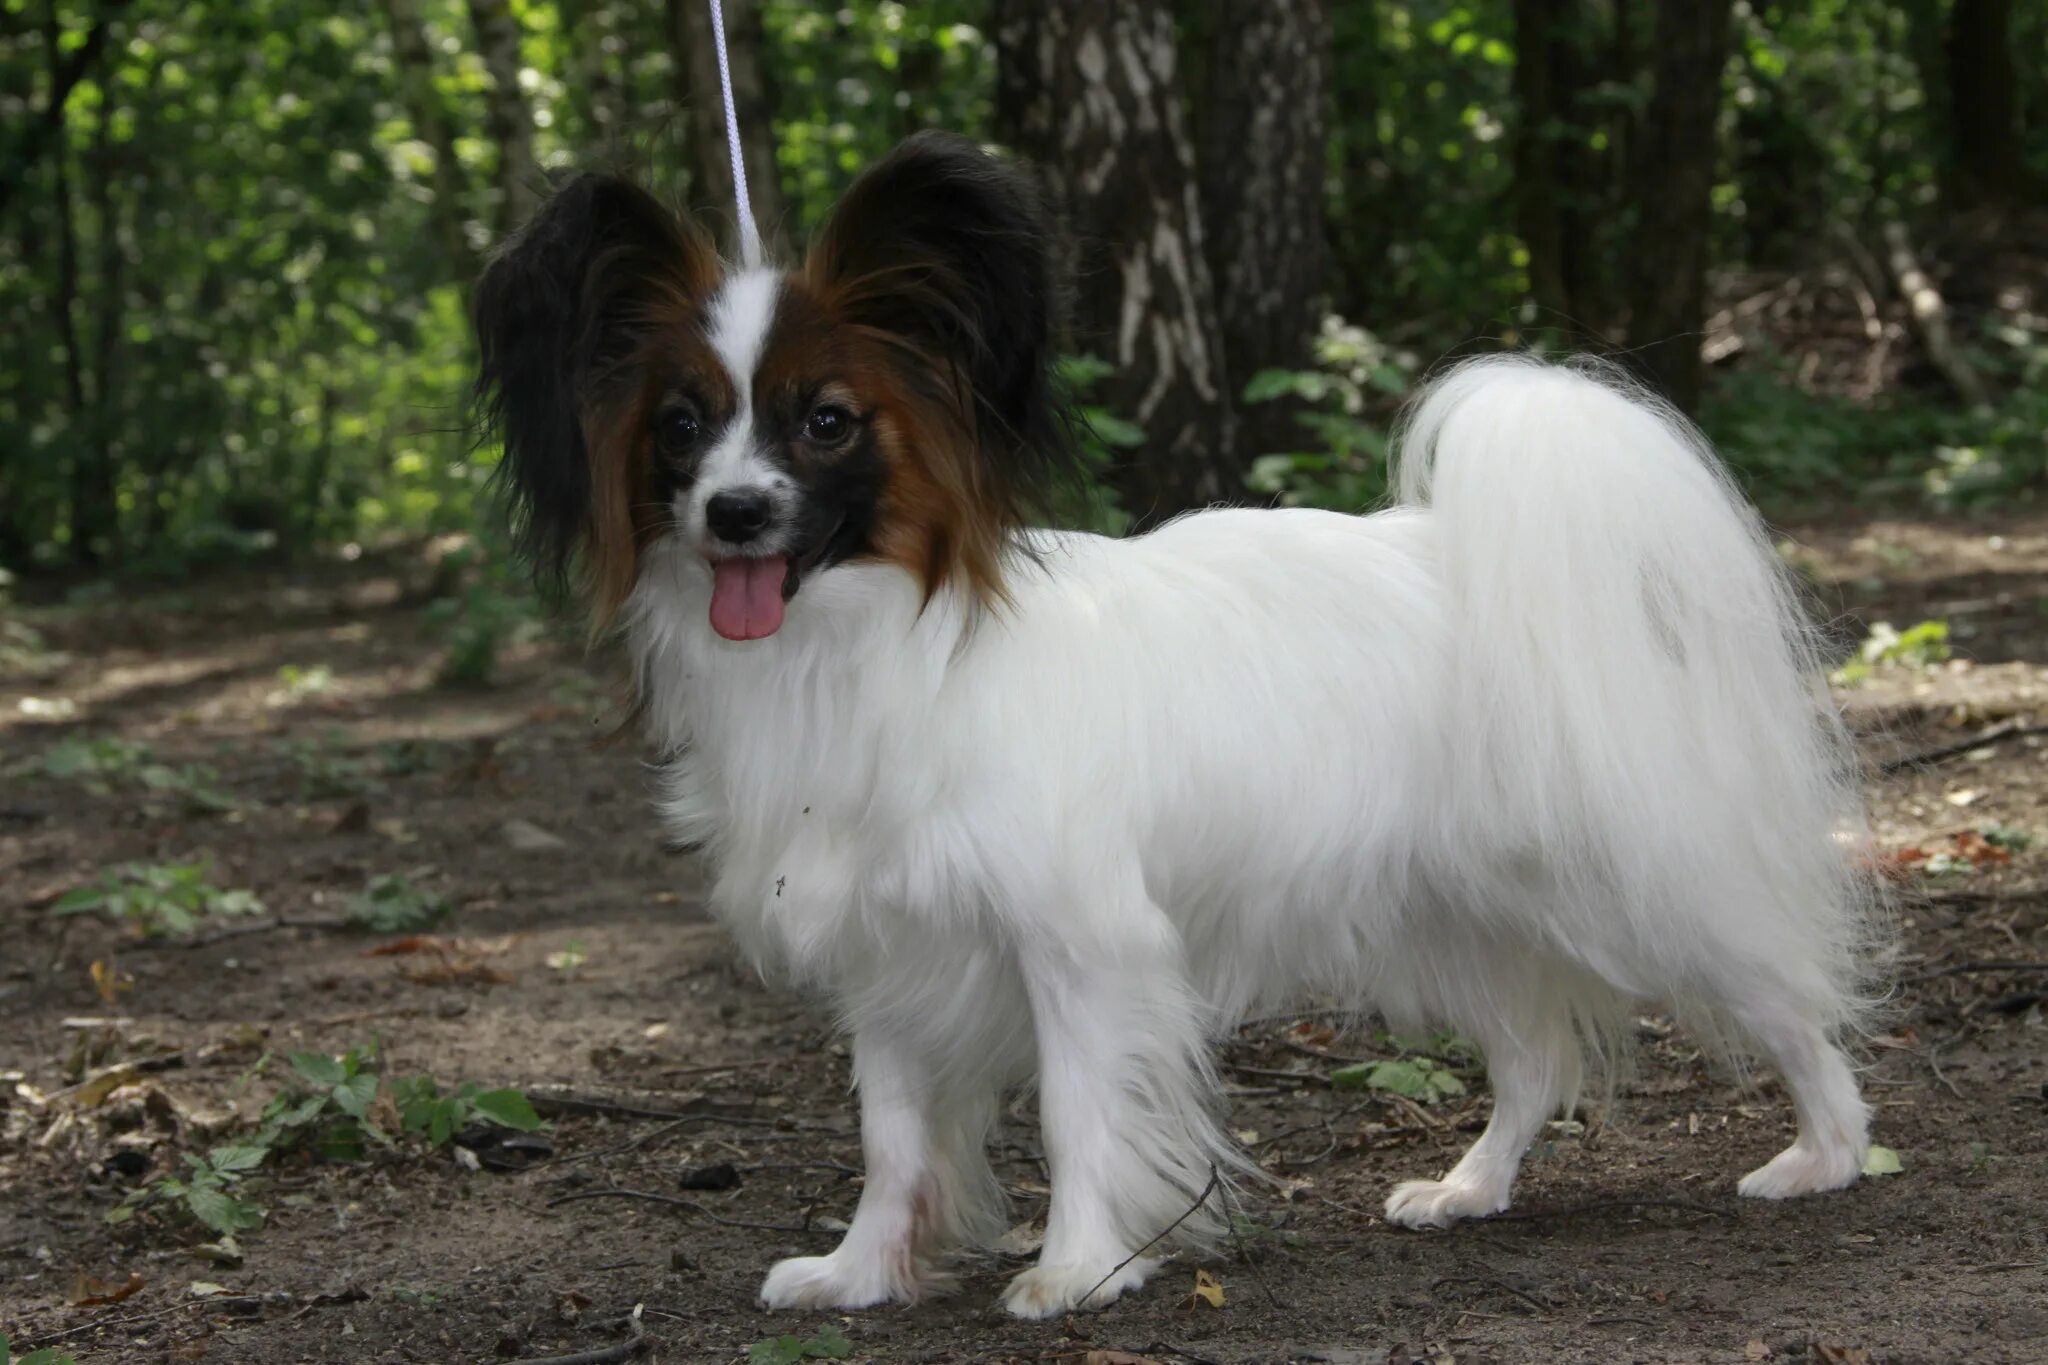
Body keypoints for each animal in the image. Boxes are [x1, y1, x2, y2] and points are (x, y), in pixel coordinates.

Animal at [471, 133, 1875, 1317]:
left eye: (825, 423)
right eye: (681, 428)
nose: (736, 513)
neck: (864, 648)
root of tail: (1478, 556)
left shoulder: (1082, 943)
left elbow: (1079, 1116)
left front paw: (1078, 1271)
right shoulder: (887, 954)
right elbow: (891, 1136)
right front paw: (860, 1273)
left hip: (1629, 879)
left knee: (1785, 999)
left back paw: (1825, 1155)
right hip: (1453, 906)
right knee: (1530, 1056)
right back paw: (1469, 1188)